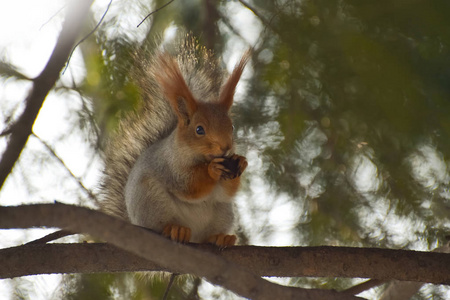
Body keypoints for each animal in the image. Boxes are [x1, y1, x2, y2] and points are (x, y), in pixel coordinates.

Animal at [99, 35, 250, 247]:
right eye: (199, 129)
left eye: (232, 127)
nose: (226, 147)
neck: (200, 157)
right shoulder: (168, 165)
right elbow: (188, 186)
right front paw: (212, 170)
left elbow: (225, 192)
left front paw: (241, 162)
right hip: (152, 201)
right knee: (161, 225)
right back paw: (176, 229)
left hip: (223, 212)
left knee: (209, 231)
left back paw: (220, 237)